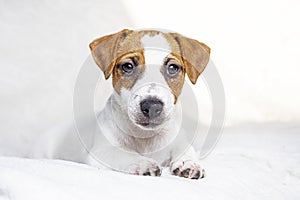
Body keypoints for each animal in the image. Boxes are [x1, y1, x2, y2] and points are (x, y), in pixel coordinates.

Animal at [85, 29, 210, 180]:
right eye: (128, 66)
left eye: (173, 67)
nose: (152, 106)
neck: (145, 136)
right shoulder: (100, 151)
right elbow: (121, 152)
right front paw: (141, 163)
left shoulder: (178, 138)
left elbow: (186, 147)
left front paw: (189, 162)